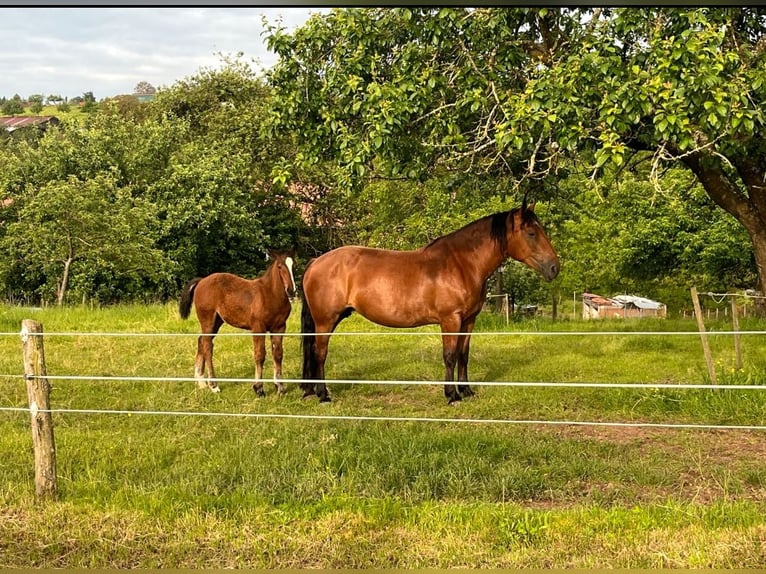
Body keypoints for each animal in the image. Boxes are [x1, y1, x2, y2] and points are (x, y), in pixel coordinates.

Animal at [179, 249, 296, 395]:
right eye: (279, 266)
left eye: (294, 265)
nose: (291, 290)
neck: (269, 295)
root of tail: (201, 281)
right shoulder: (258, 328)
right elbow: (260, 355)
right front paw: (258, 388)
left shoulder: (279, 327)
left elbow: (278, 354)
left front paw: (280, 387)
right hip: (208, 320)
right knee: (207, 346)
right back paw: (214, 385)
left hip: (217, 322)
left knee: (201, 340)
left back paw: (201, 382)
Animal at [300, 201, 559, 404]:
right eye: (531, 233)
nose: (555, 268)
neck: (462, 264)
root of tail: (316, 261)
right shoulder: (450, 319)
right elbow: (450, 355)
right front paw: (451, 395)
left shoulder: (469, 320)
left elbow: (464, 354)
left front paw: (466, 391)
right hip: (325, 321)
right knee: (319, 352)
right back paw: (323, 394)